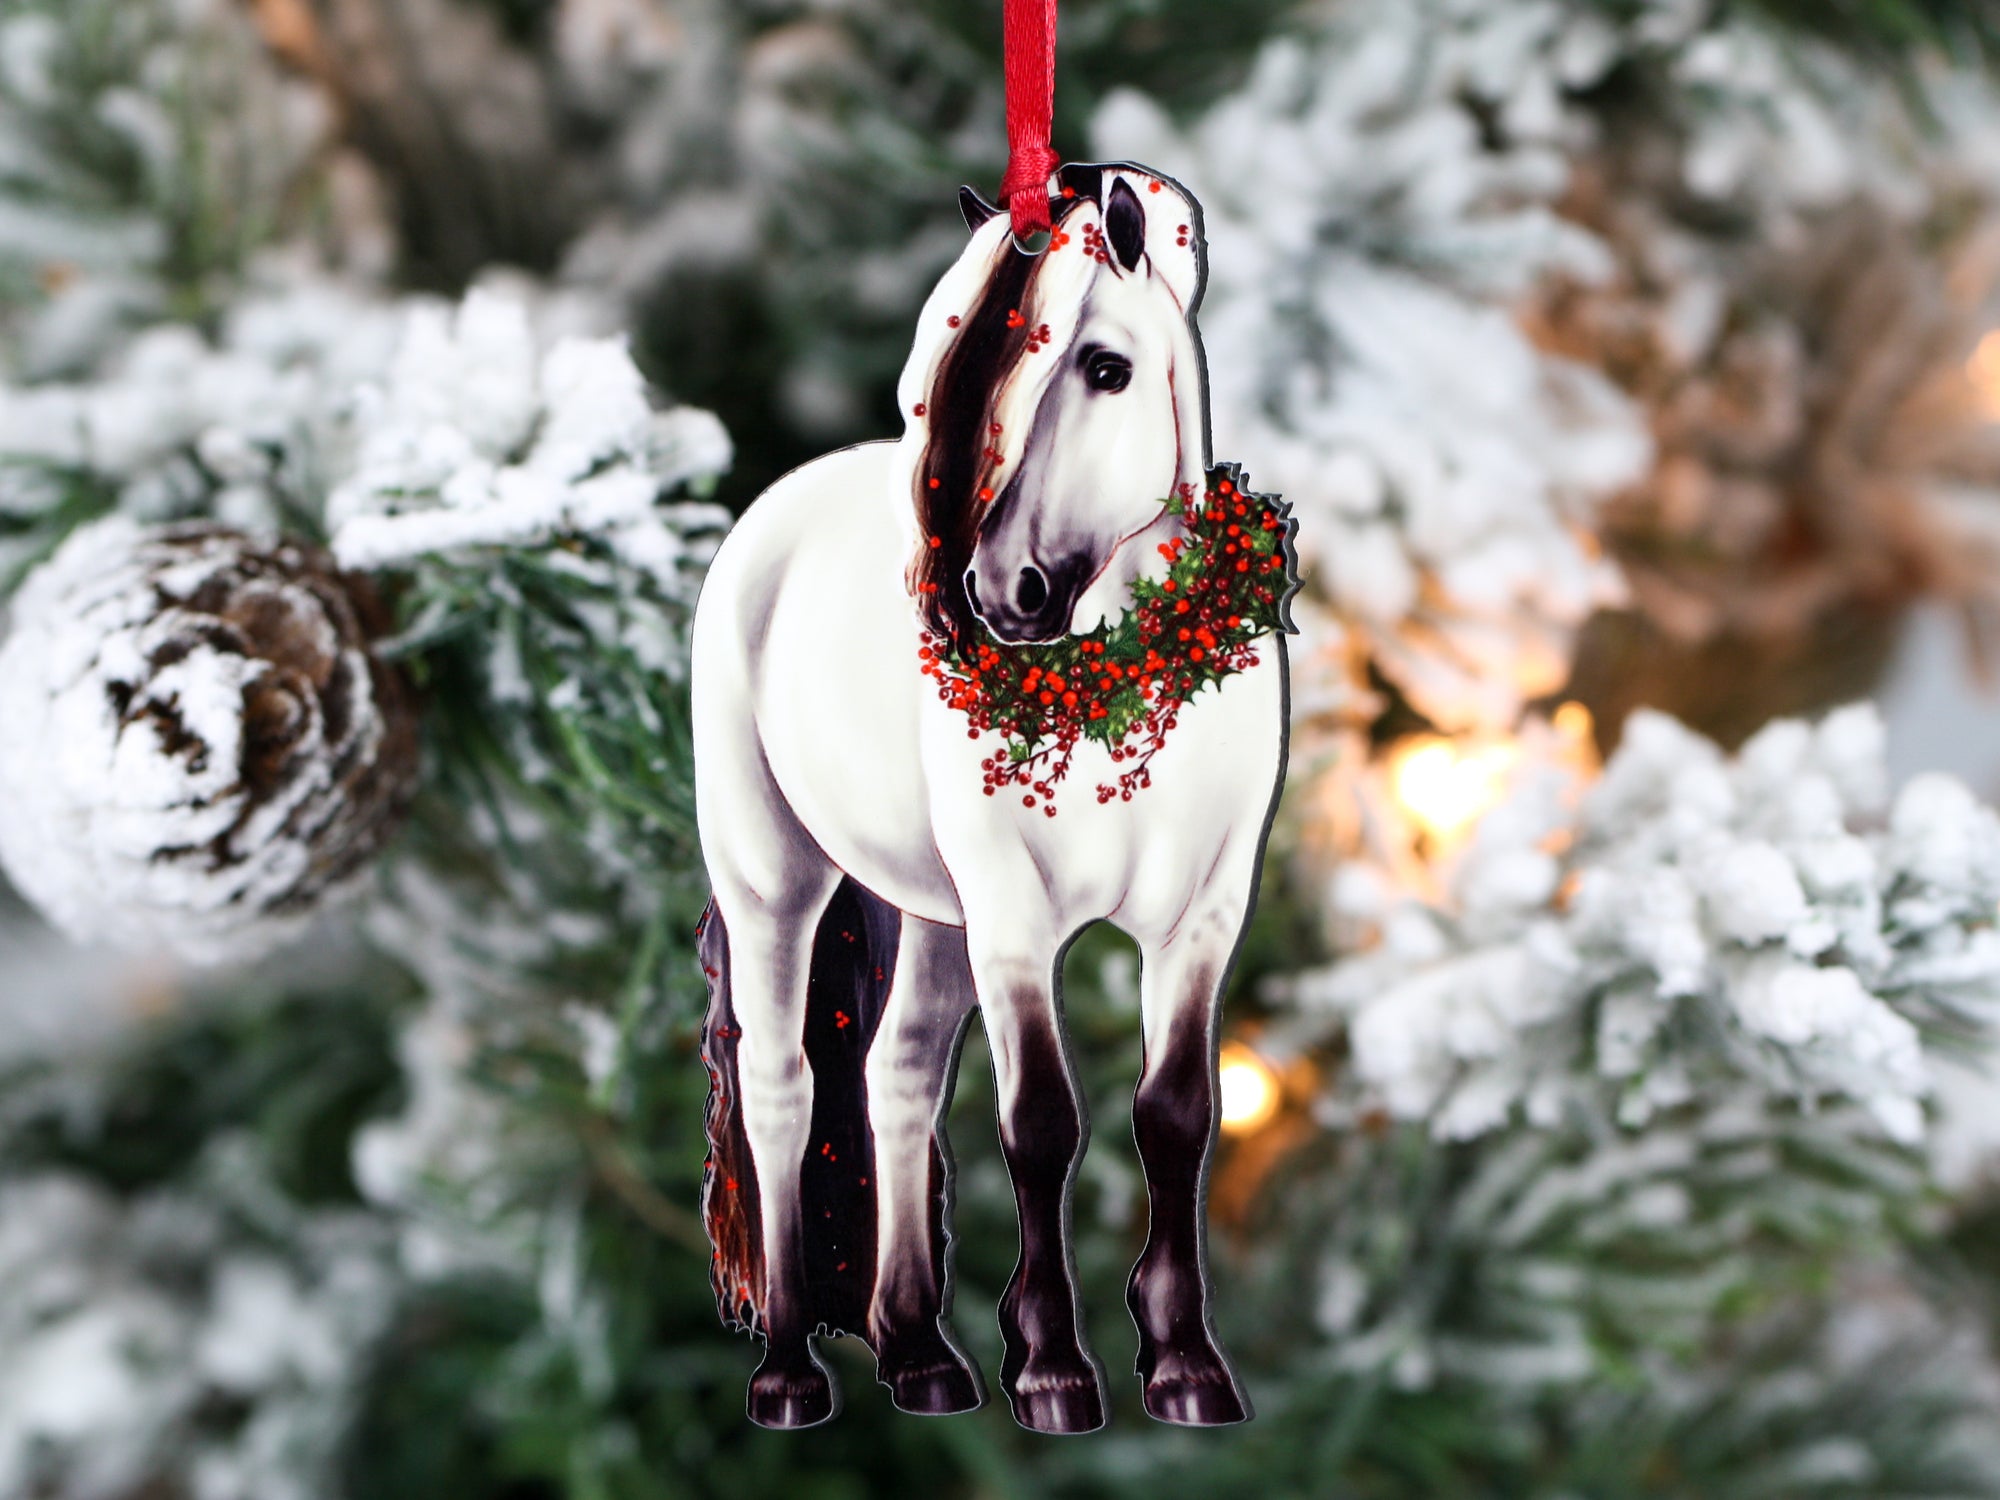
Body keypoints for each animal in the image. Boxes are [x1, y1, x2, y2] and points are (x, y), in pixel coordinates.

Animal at [691, 162, 1292, 1434]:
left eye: (1106, 366)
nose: (999, 593)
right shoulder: (1016, 922)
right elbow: (1042, 1123)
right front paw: (1054, 1368)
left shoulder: (1203, 914)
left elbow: (1174, 1113)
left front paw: (1182, 1363)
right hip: (775, 881)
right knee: (781, 1091)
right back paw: (787, 1371)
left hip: (934, 919)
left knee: (897, 1076)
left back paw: (920, 1352)